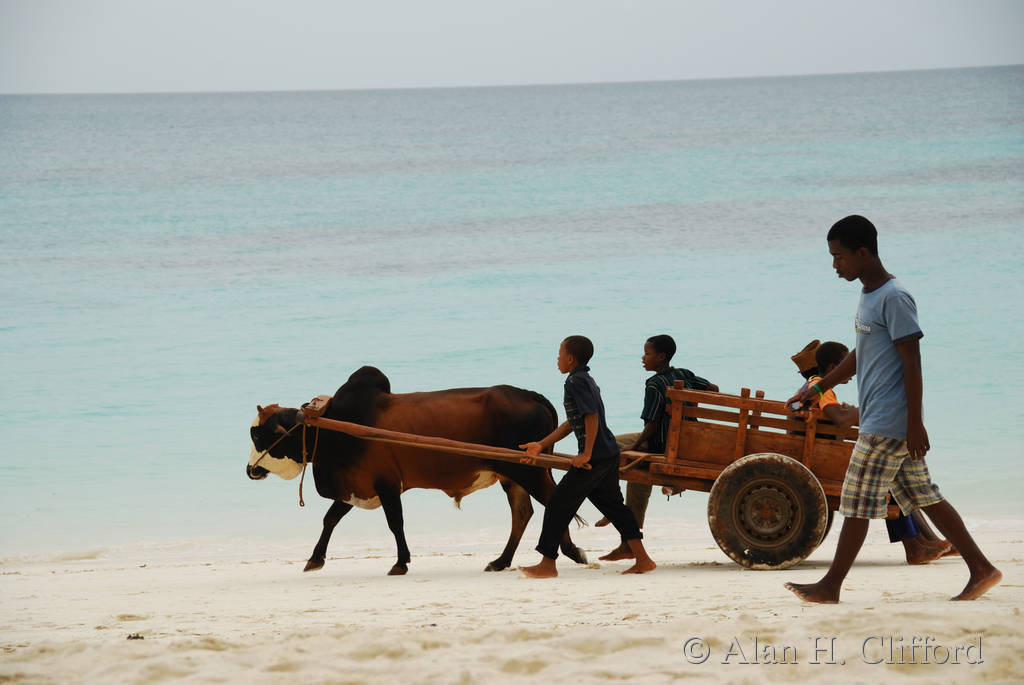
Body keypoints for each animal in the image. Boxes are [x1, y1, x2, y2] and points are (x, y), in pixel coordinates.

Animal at [247, 365, 588, 575]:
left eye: (259, 436)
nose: (250, 470)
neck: (332, 429)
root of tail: (531, 395)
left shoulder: (386, 485)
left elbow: (395, 523)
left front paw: (400, 563)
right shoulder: (357, 487)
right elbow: (330, 519)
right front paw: (315, 559)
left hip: (528, 472)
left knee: (555, 503)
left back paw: (571, 551)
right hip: (514, 476)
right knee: (523, 514)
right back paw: (501, 561)